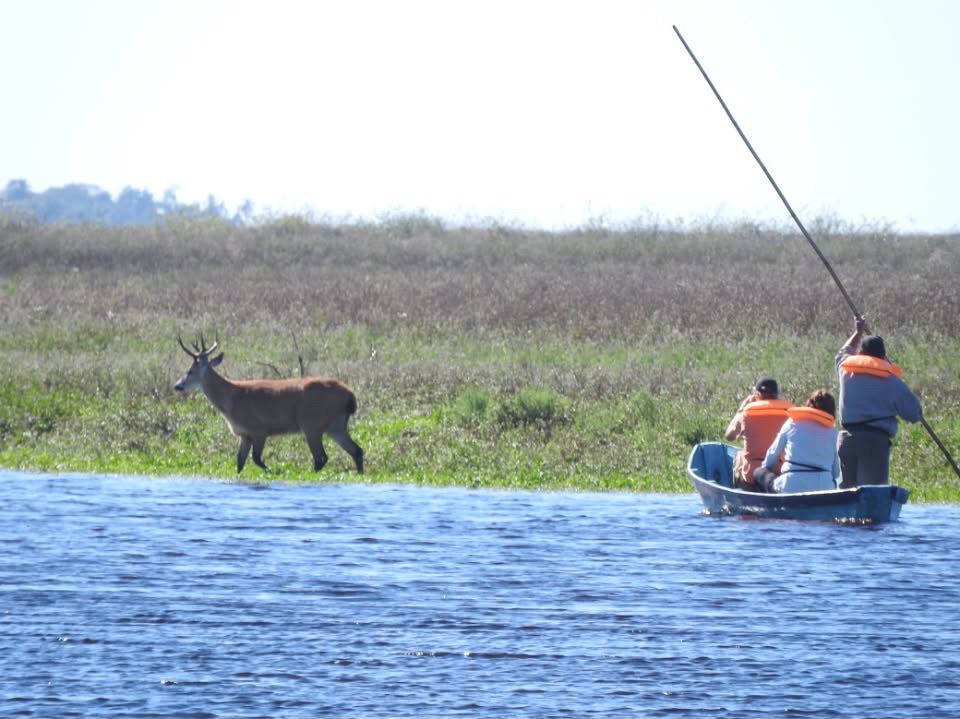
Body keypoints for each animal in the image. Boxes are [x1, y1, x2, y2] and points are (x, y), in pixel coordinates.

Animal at [174, 334, 363, 474]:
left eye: (190, 371)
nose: (177, 385)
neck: (231, 401)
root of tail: (350, 395)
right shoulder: (244, 434)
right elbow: (239, 461)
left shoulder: (259, 429)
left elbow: (256, 459)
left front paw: (274, 471)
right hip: (336, 425)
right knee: (356, 450)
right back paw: (360, 473)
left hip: (312, 423)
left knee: (321, 457)